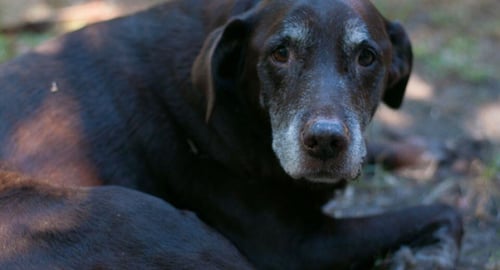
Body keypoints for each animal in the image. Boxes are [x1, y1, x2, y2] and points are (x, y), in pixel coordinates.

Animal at [0, 0, 460, 268]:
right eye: (280, 53)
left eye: (367, 57)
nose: (326, 142)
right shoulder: (300, 245)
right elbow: (441, 210)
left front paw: (434, 150)